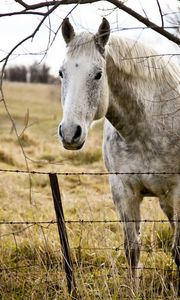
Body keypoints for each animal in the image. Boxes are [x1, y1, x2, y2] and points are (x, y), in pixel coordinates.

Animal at [58, 17, 180, 294]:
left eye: (98, 74)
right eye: (61, 73)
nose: (70, 133)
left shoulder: (179, 192)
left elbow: (179, 251)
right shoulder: (123, 191)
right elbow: (132, 249)